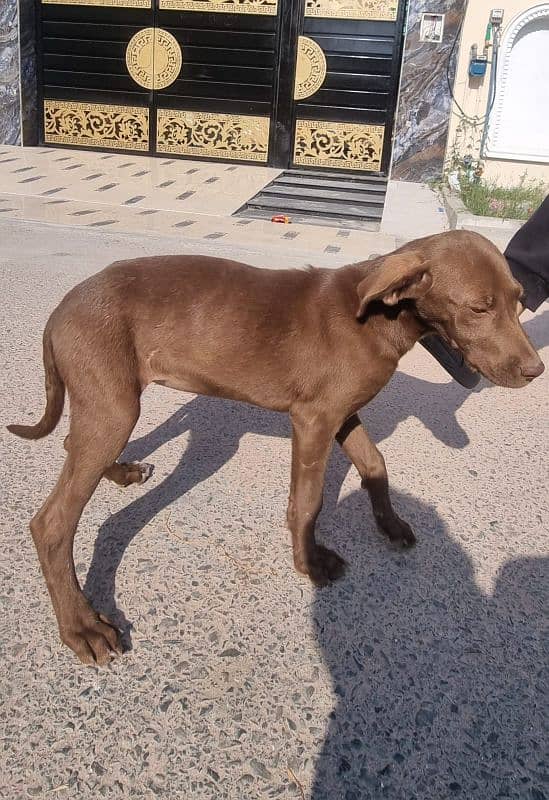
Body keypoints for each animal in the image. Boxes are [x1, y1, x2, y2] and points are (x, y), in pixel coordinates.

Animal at [6, 228, 540, 664]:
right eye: (479, 307)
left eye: (519, 300)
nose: (536, 371)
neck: (378, 316)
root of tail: (61, 308)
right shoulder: (314, 419)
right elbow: (309, 500)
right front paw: (309, 562)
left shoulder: (343, 413)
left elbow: (375, 463)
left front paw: (389, 523)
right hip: (114, 406)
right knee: (52, 522)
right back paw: (81, 627)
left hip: (107, 401)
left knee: (73, 442)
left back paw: (120, 472)